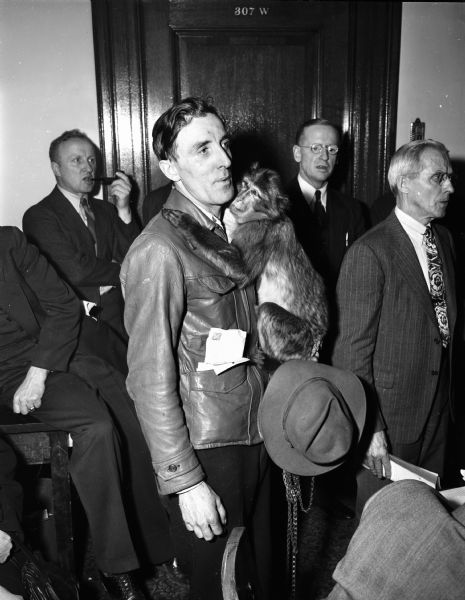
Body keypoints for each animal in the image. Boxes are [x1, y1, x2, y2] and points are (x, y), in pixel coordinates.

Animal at [161, 162, 328, 364]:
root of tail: (316, 341)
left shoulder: (259, 230)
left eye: (255, 193)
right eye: (246, 185)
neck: (260, 216)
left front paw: (187, 223)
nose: (239, 198)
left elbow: (242, 269)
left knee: (267, 310)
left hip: (299, 337)